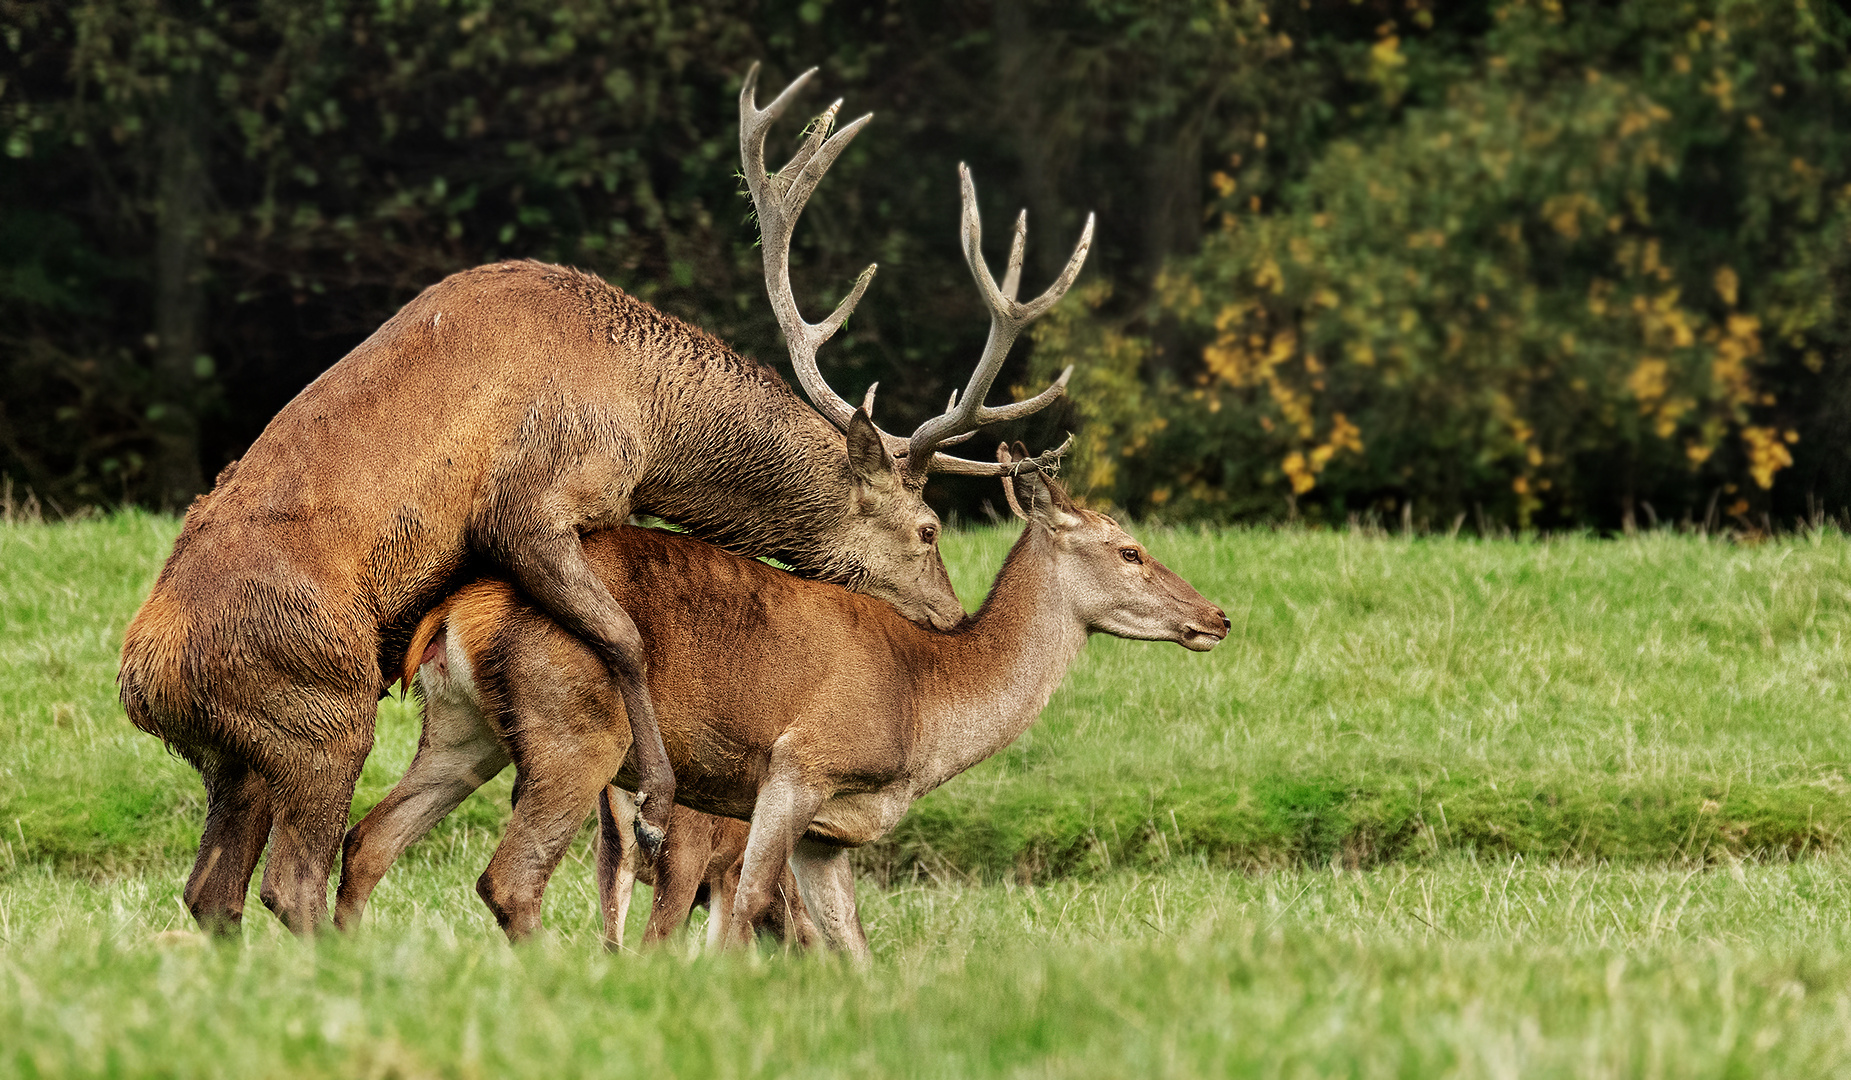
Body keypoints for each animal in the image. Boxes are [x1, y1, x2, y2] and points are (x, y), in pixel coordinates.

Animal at [115, 61, 1088, 937]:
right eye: (926, 528)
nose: (950, 619)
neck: (648, 413)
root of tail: (144, 684)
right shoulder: (540, 492)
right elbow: (623, 635)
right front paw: (653, 804)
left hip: (232, 760)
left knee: (213, 890)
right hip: (319, 710)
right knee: (293, 881)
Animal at [342, 448, 1229, 955]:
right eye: (1130, 550)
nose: (1217, 616)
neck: (928, 706)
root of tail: (458, 611)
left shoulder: (831, 834)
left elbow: (850, 947)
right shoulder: (800, 764)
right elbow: (746, 916)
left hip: (464, 732)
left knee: (370, 839)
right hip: (576, 730)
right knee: (511, 880)